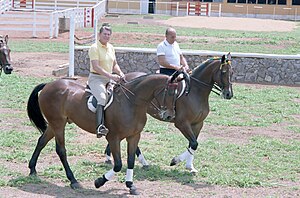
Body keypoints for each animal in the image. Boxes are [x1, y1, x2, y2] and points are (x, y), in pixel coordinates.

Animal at [26, 73, 178, 194]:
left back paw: (32, 169)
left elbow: (130, 161)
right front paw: (99, 182)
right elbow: (118, 165)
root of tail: (48, 85)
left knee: (41, 141)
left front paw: (130, 185)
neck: (131, 103)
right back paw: (73, 180)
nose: (170, 116)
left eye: (177, 94)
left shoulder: (134, 136)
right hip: (58, 124)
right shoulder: (114, 138)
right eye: (170, 93)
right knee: (61, 150)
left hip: (54, 124)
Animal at [104, 52, 233, 173]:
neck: (196, 92)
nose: (229, 94)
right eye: (223, 72)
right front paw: (175, 161)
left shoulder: (198, 124)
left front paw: (190, 167)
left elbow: (193, 145)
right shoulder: (182, 123)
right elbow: (194, 143)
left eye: (232, 73)